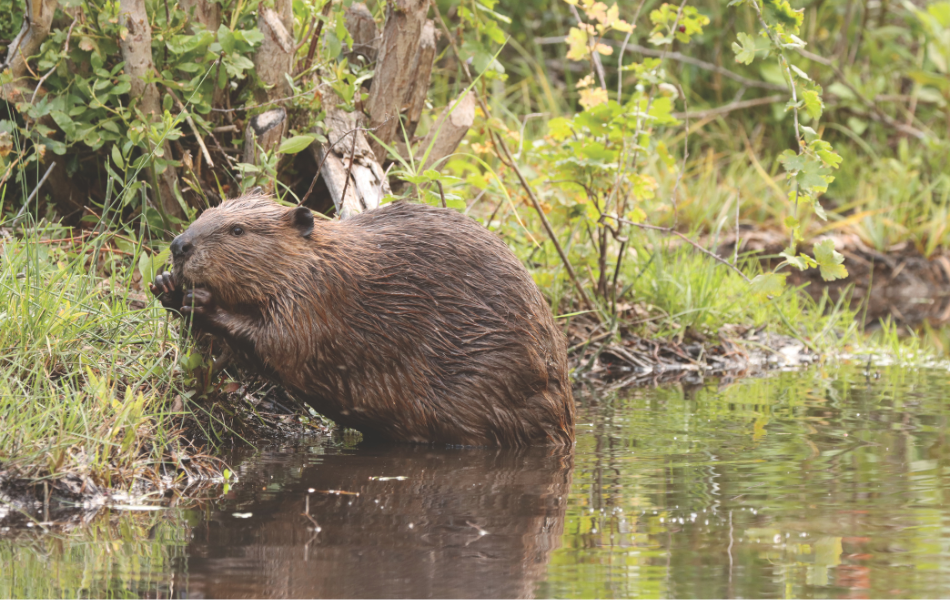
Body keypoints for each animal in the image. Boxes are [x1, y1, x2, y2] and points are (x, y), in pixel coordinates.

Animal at [152, 195, 576, 448]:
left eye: (237, 230)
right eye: (203, 215)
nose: (179, 245)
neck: (322, 257)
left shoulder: (319, 295)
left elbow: (283, 342)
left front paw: (201, 300)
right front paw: (165, 285)